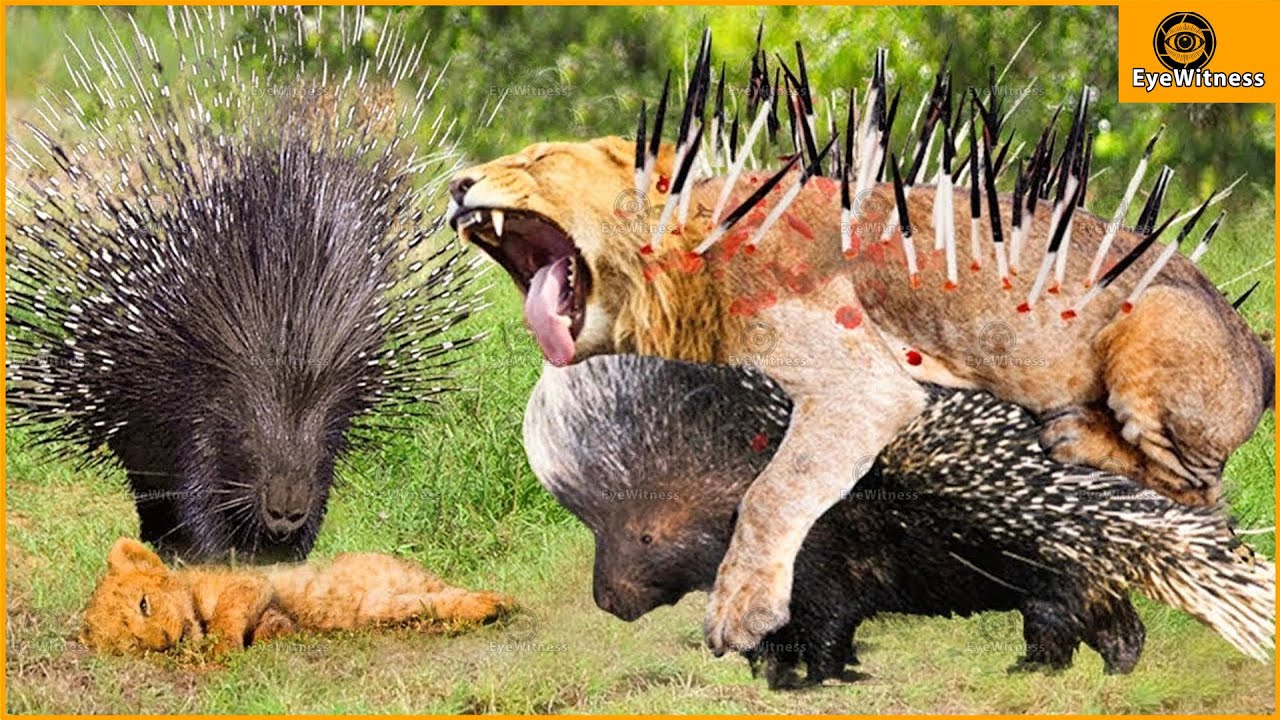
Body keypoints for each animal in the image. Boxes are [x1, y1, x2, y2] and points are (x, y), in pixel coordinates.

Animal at [81, 537, 515, 655]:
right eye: (132, 645)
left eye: (144, 604)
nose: (162, 643)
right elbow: (271, 627)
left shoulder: (251, 581)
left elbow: (229, 610)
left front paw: (219, 650)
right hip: (382, 607)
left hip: (395, 590)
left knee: (445, 596)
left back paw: (496, 603)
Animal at [446, 135, 1273, 653]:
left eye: (539, 158)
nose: (455, 184)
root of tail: (1255, 344)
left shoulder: (865, 384)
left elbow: (773, 492)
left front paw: (742, 608)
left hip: (1152, 322)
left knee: (1196, 487)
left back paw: (1073, 433)